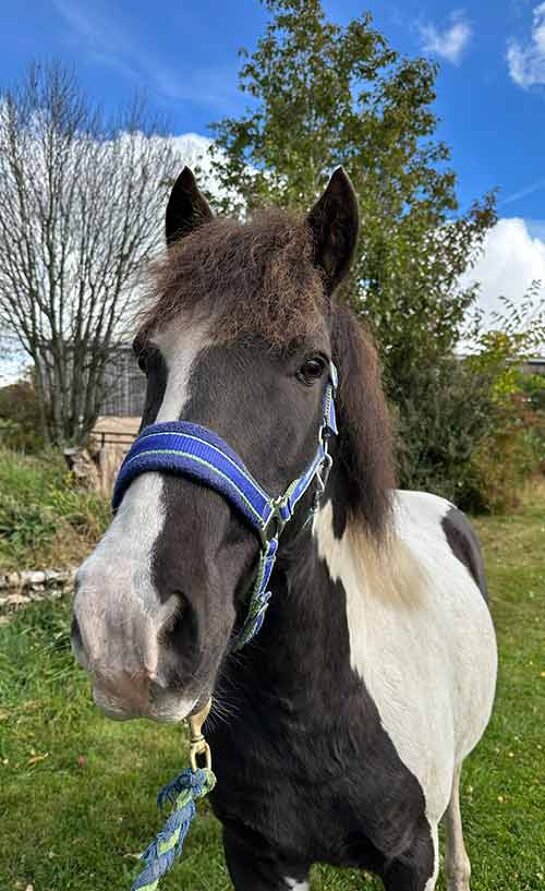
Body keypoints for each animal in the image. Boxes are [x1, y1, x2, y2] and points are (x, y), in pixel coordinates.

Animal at [72, 167, 498, 891]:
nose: (124, 626)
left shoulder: (412, 859)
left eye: (311, 365)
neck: (314, 707)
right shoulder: (259, 854)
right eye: (147, 358)